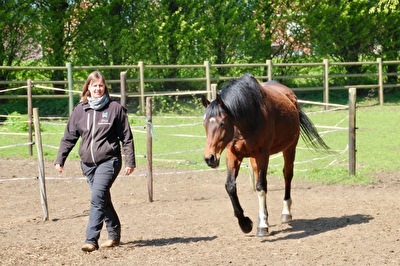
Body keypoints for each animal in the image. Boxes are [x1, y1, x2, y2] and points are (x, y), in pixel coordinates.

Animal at [202, 73, 330, 237]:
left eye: (222, 123)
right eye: (204, 123)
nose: (209, 158)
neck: (247, 118)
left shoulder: (263, 154)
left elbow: (261, 186)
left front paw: (262, 225)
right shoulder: (232, 154)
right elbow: (230, 186)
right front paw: (245, 223)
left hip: (289, 148)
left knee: (287, 175)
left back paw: (286, 213)